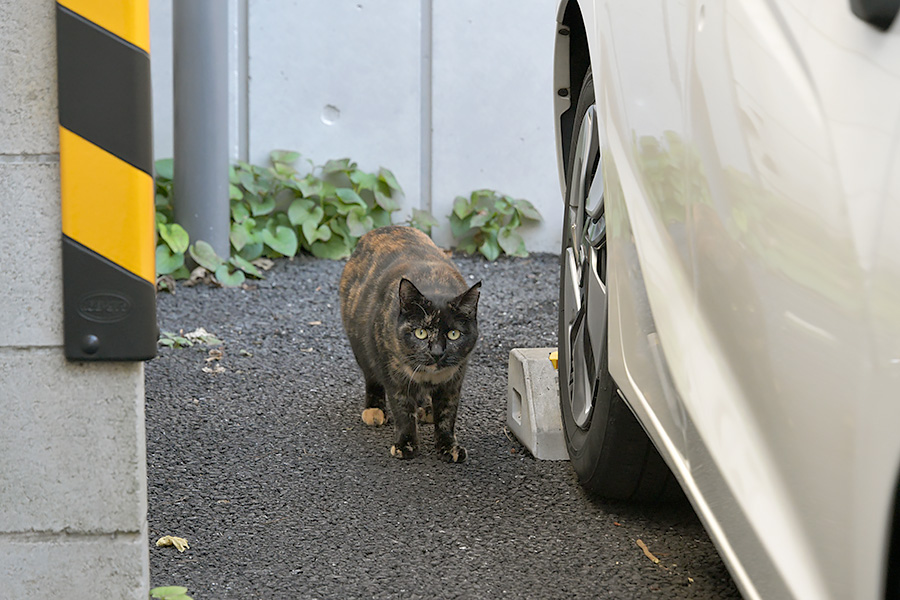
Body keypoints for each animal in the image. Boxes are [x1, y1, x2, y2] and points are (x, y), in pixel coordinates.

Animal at [338, 227, 482, 462]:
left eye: (453, 334)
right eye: (420, 332)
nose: (437, 352)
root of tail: (376, 231)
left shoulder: (454, 380)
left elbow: (447, 414)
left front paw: (448, 446)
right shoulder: (395, 377)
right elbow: (403, 411)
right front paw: (406, 444)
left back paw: (427, 409)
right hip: (361, 348)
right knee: (371, 378)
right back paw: (374, 410)